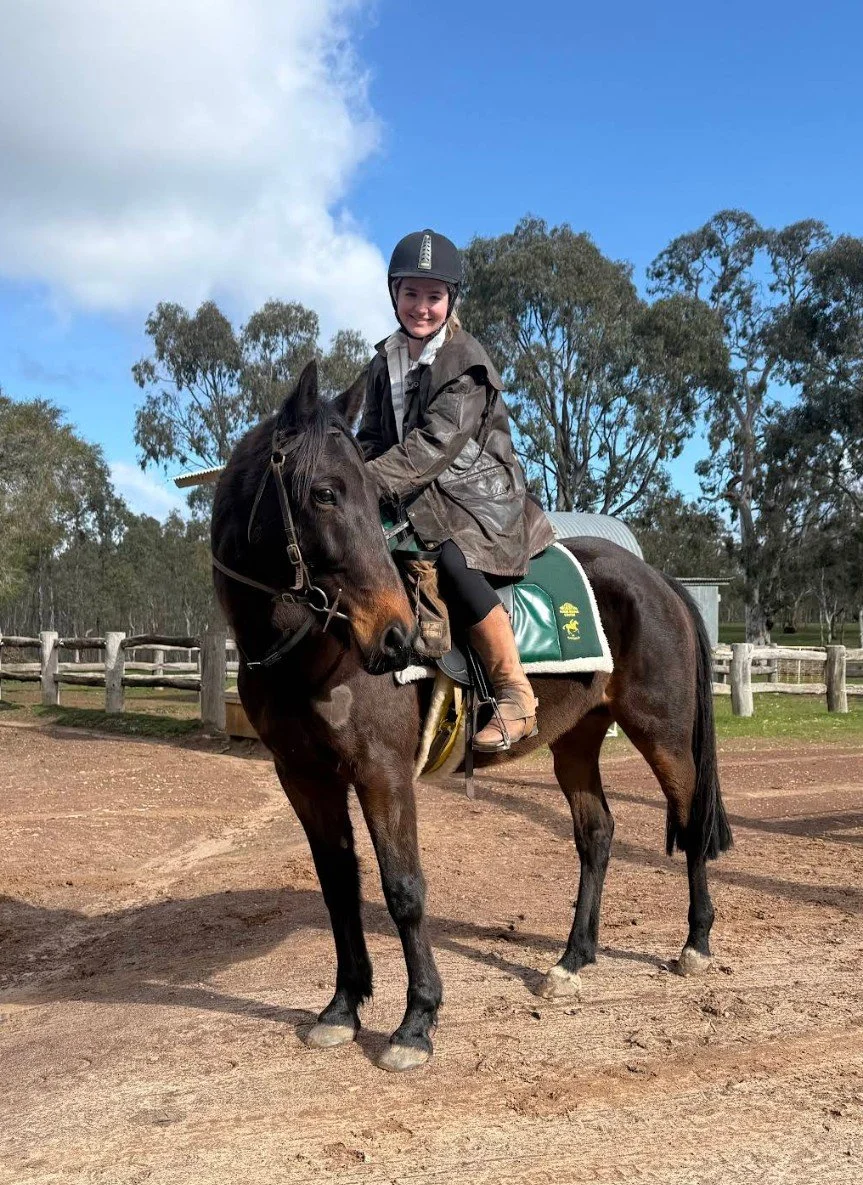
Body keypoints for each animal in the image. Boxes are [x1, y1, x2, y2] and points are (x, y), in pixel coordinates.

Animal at [211, 360, 733, 1073]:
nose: (398, 637)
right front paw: (342, 1009)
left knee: (688, 819)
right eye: (324, 493)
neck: (314, 646)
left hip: (664, 734)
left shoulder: (381, 772)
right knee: (596, 833)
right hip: (576, 740)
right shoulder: (305, 777)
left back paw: (696, 946)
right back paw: (572, 961)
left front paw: (416, 1021)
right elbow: (338, 884)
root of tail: (656, 580)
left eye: (367, 495)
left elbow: (403, 888)